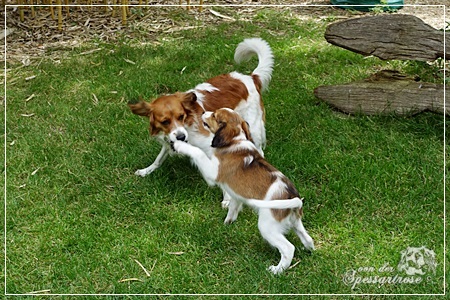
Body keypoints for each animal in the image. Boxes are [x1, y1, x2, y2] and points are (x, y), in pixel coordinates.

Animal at [128, 37, 272, 183]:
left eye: (181, 116)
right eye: (165, 122)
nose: (181, 137)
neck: (187, 125)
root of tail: (251, 77)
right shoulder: (169, 139)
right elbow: (159, 157)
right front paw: (147, 170)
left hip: (253, 127)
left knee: (259, 151)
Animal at [174, 108, 314, 274]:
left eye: (214, 115)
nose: (203, 112)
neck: (235, 140)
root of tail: (292, 195)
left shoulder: (212, 173)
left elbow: (198, 152)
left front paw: (180, 145)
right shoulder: (235, 196)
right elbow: (233, 209)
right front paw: (227, 224)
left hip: (268, 226)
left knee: (288, 248)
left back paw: (276, 270)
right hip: (295, 221)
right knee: (307, 237)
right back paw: (309, 249)